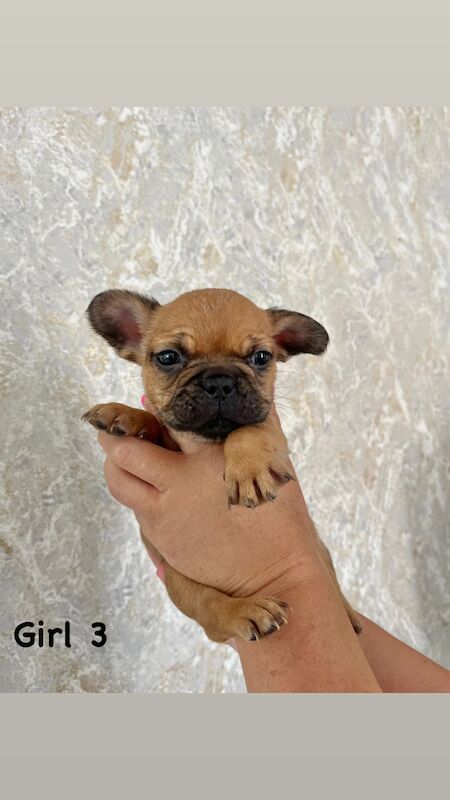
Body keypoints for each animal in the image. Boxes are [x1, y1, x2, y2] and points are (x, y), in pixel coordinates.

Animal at [82, 290, 360, 644]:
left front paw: (249, 470)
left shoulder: (268, 426)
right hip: (180, 582)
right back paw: (244, 611)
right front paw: (125, 413)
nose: (220, 381)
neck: (210, 440)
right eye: (168, 357)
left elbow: (246, 430)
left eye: (261, 358)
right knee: (211, 612)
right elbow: (155, 422)